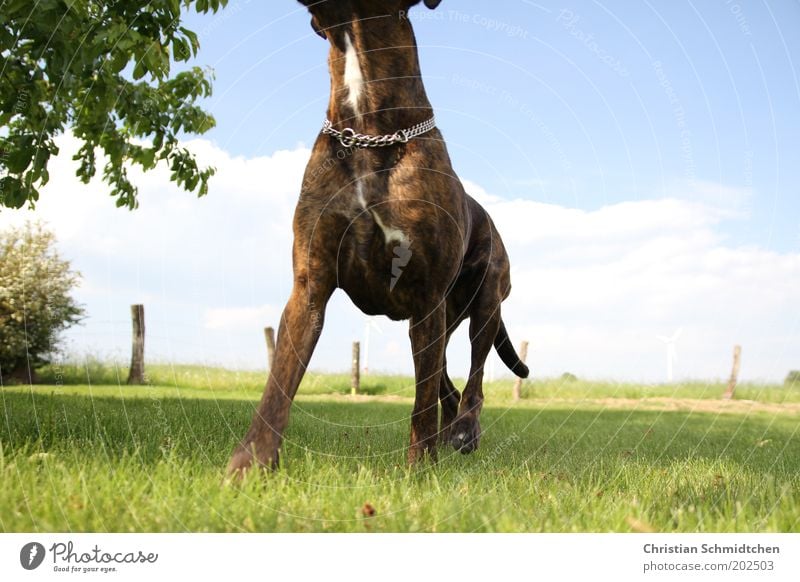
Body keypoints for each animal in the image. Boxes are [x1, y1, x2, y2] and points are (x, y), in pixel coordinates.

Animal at [227, 0, 524, 480]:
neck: (366, 131)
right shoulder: (309, 289)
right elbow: (279, 384)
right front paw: (250, 463)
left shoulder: (427, 296)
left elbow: (420, 404)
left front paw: (418, 471)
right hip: (442, 320)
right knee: (444, 383)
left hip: (483, 301)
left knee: (472, 377)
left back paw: (464, 431)